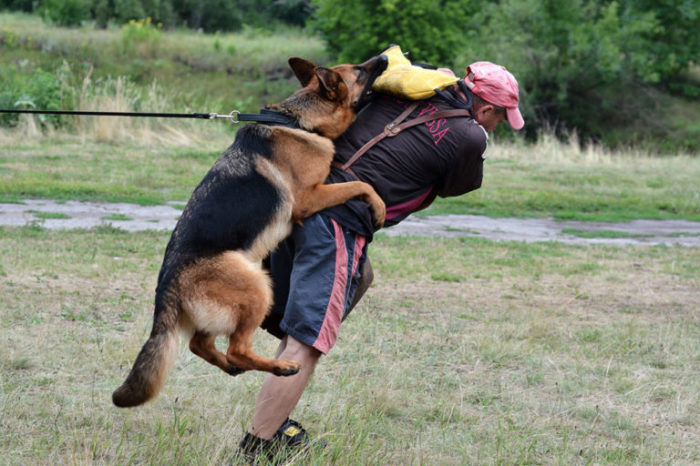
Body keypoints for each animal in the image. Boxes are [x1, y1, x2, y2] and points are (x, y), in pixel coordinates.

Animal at [113, 54, 388, 406]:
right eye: (360, 71)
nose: (386, 56)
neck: (298, 120)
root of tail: (166, 287)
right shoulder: (309, 197)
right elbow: (360, 184)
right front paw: (378, 207)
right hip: (259, 287)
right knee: (237, 348)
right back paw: (280, 366)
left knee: (201, 345)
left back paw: (233, 367)